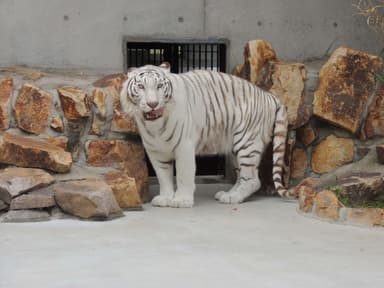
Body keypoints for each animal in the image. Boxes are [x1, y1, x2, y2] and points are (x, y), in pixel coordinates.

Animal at [120, 62, 294, 207]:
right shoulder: (155, 151)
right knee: (242, 176)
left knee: (252, 180)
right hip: (234, 148)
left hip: (247, 143)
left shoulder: (184, 146)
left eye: (160, 86)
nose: (153, 104)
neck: (155, 126)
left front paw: (181, 200)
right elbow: (163, 176)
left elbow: (183, 174)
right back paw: (227, 194)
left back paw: (234, 198)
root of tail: (269, 96)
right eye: (141, 86)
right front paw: (165, 198)